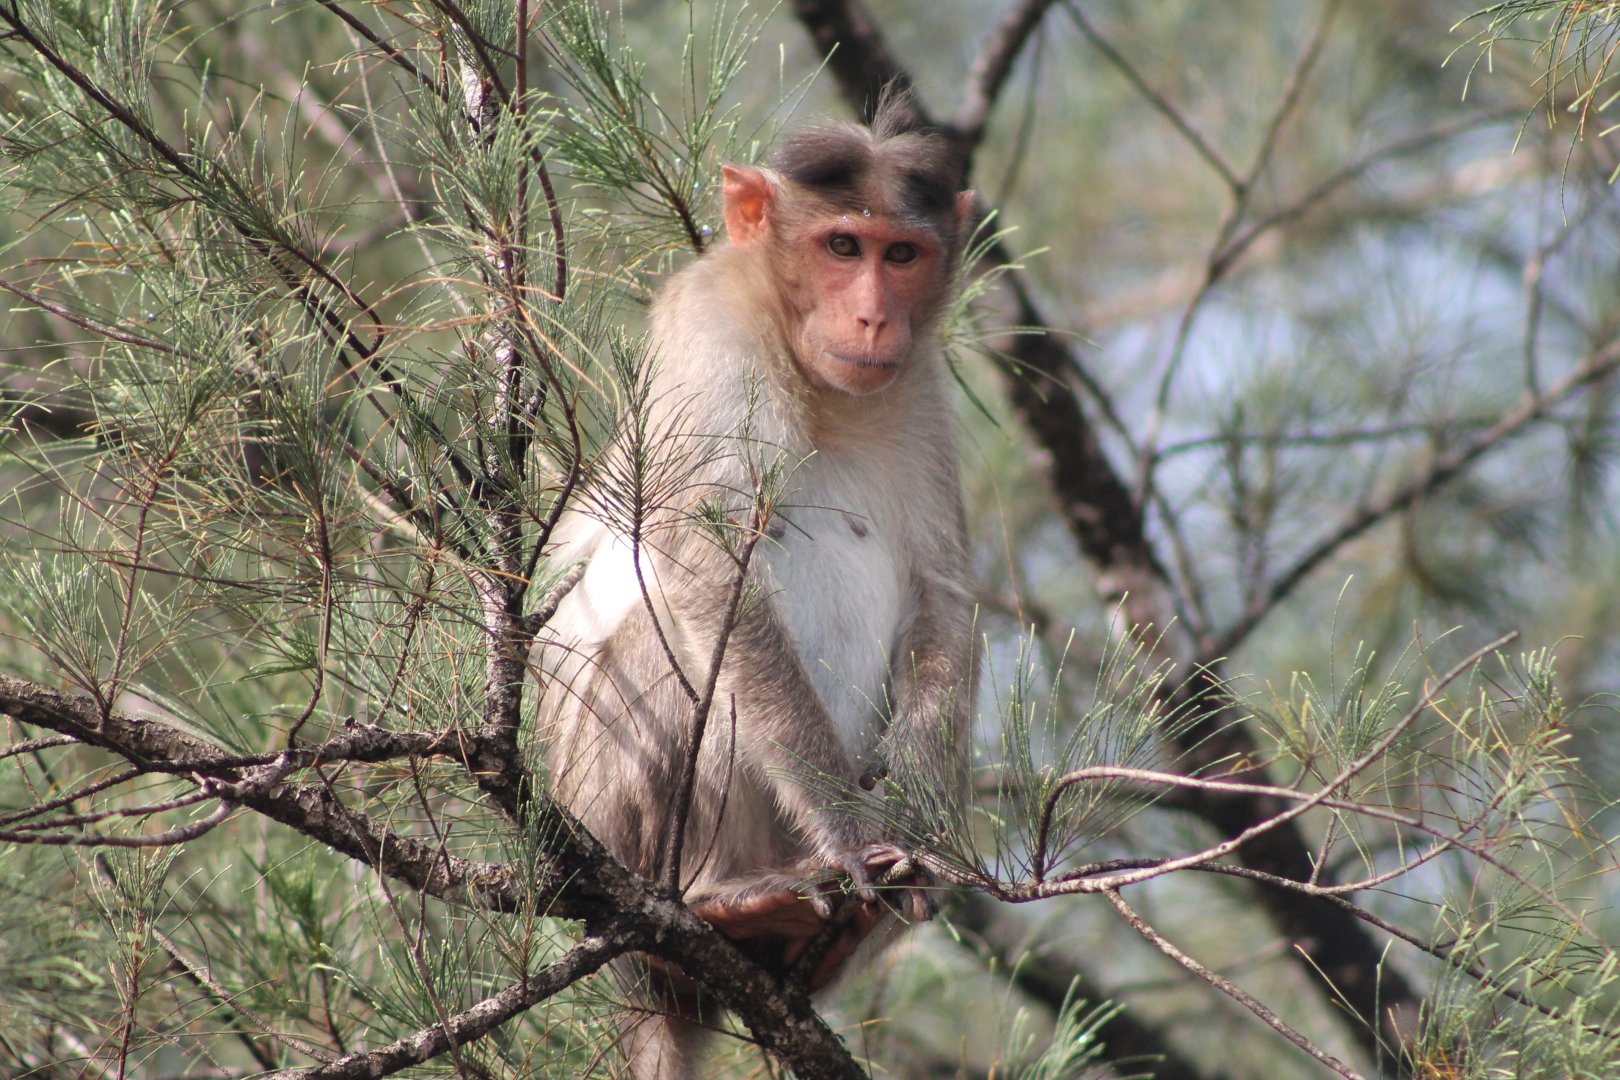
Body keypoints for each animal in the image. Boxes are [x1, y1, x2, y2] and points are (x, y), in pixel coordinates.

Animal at [534, 101, 977, 1079]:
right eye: (842, 245)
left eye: (901, 255)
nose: (872, 317)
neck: (819, 387)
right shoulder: (711, 331)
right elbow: (703, 553)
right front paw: (847, 832)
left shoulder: (922, 390)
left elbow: (944, 600)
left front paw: (918, 832)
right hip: (606, 818)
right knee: (659, 646)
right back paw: (723, 900)